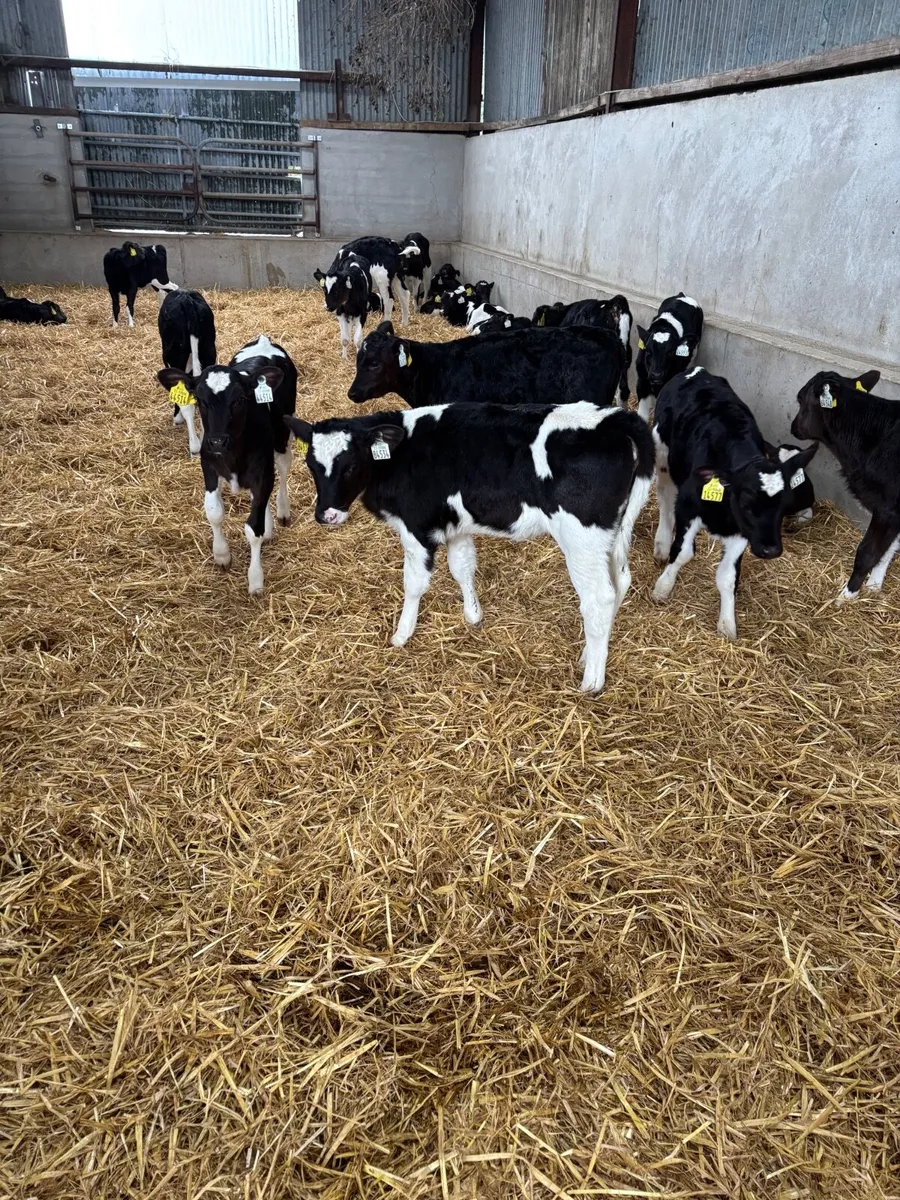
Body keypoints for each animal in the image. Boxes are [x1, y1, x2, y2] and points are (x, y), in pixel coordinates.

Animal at [156, 337, 298, 594]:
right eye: (201, 400)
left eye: (240, 399)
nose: (217, 441)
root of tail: (263, 339)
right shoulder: (209, 468)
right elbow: (214, 512)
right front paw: (221, 555)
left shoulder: (262, 473)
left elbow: (253, 528)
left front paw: (255, 580)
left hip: (283, 434)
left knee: (283, 468)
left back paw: (283, 511)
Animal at [284, 400, 654, 692]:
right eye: (312, 465)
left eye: (351, 465)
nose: (326, 514)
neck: (401, 454)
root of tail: (615, 418)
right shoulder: (456, 525)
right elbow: (462, 567)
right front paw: (473, 615)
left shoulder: (416, 527)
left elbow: (414, 584)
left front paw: (402, 634)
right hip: (612, 534)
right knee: (620, 582)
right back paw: (589, 655)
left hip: (582, 539)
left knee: (599, 598)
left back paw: (592, 681)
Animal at [636, 292, 704, 423]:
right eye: (648, 350)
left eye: (671, 352)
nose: (656, 375)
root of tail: (682, 295)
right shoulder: (642, 383)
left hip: (694, 349)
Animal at [652, 366, 817, 640]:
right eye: (747, 503)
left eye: (784, 506)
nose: (771, 550)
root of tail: (698, 371)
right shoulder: (687, 507)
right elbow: (683, 552)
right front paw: (663, 587)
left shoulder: (741, 532)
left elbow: (727, 577)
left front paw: (727, 624)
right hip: (663, 455)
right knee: (665, 499)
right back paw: (662, 544)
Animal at [791, 368, 899, 604]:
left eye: (800, 399)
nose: (793, 427)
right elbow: (888, 550)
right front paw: (874, 586)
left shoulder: (886, 509)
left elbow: (868, 552)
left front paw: (847, 594)